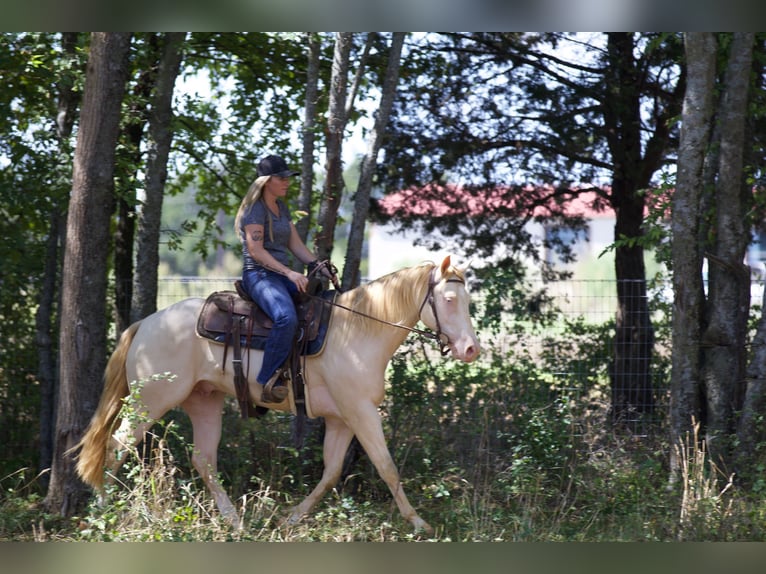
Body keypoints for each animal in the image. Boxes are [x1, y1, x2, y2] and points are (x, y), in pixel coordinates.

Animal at [72, 256, 480, 536]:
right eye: (448, 299)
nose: (471, 349)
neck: (358, 330)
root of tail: (145, 324)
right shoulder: (361, 412)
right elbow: (387, 467)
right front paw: (419, 523)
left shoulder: (342, 418)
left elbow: (331, 472)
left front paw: (291, 518)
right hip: (150, 402)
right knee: (114, 449)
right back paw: (105, 514)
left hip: (204, 401)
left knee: (203, 460)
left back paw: (235, 522)